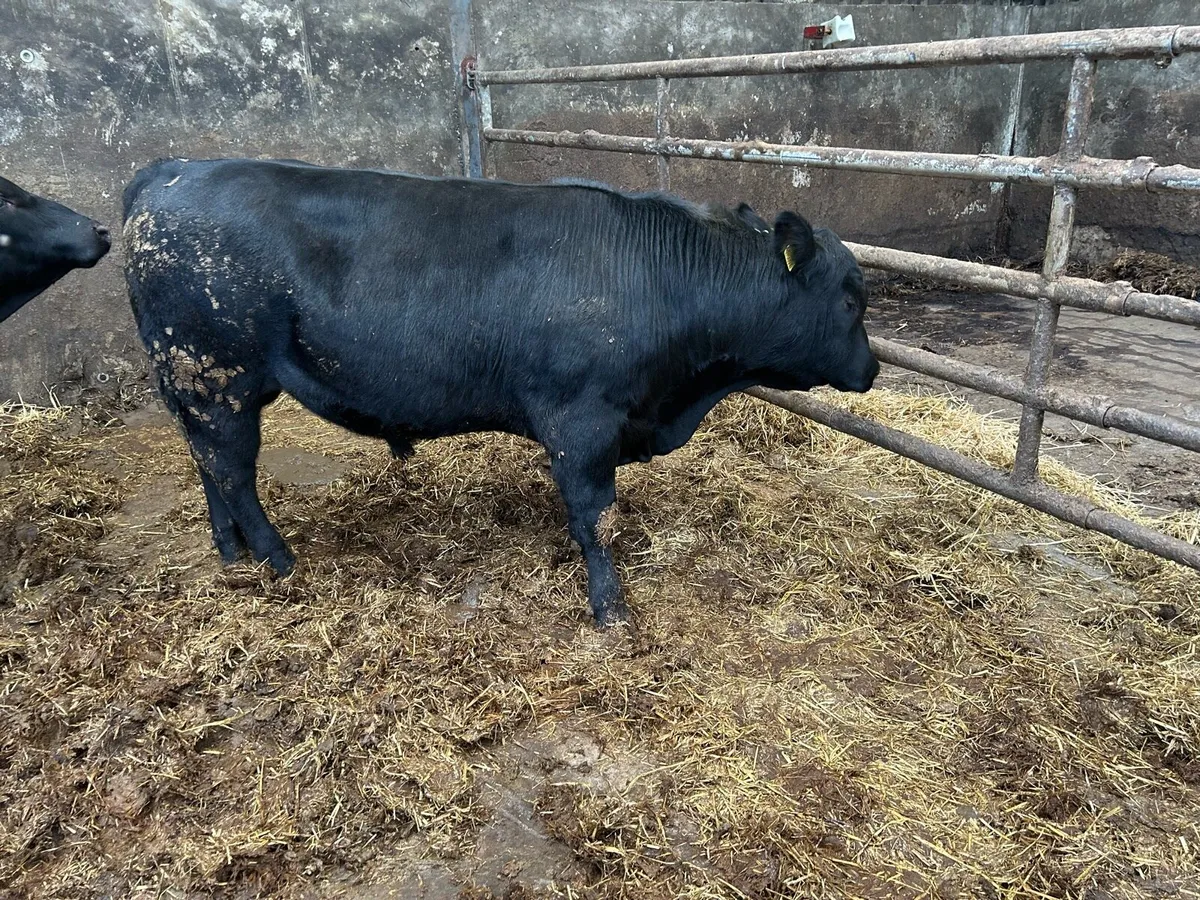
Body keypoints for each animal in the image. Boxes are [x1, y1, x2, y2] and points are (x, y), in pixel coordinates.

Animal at [122, 158, 878, 626]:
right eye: (850, 300)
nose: (871, 371)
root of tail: (176, 169)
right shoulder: (582, 420)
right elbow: (594, 515)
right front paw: (611, 608)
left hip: (197, 384)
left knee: (210, 466)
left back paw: (231, 555)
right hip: (215, 372)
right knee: (232, 470)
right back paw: (277, 561)